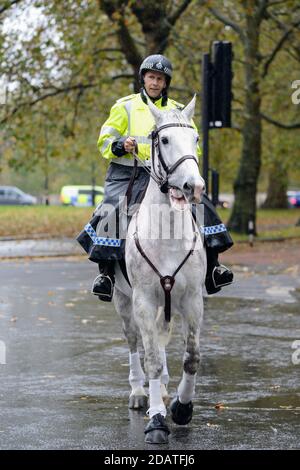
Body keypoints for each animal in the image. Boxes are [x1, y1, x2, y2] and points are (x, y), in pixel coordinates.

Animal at [113, 96, 205, 444]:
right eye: (163, 139)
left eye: (196, 138)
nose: (195, 186)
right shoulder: (143, 301)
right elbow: (150, 358)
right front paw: (156, 421)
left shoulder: (192, 301)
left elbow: (191, 357)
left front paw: (181, 406)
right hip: (124, 302)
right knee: (134, 342)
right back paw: (140, 393)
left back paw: (165, 392)